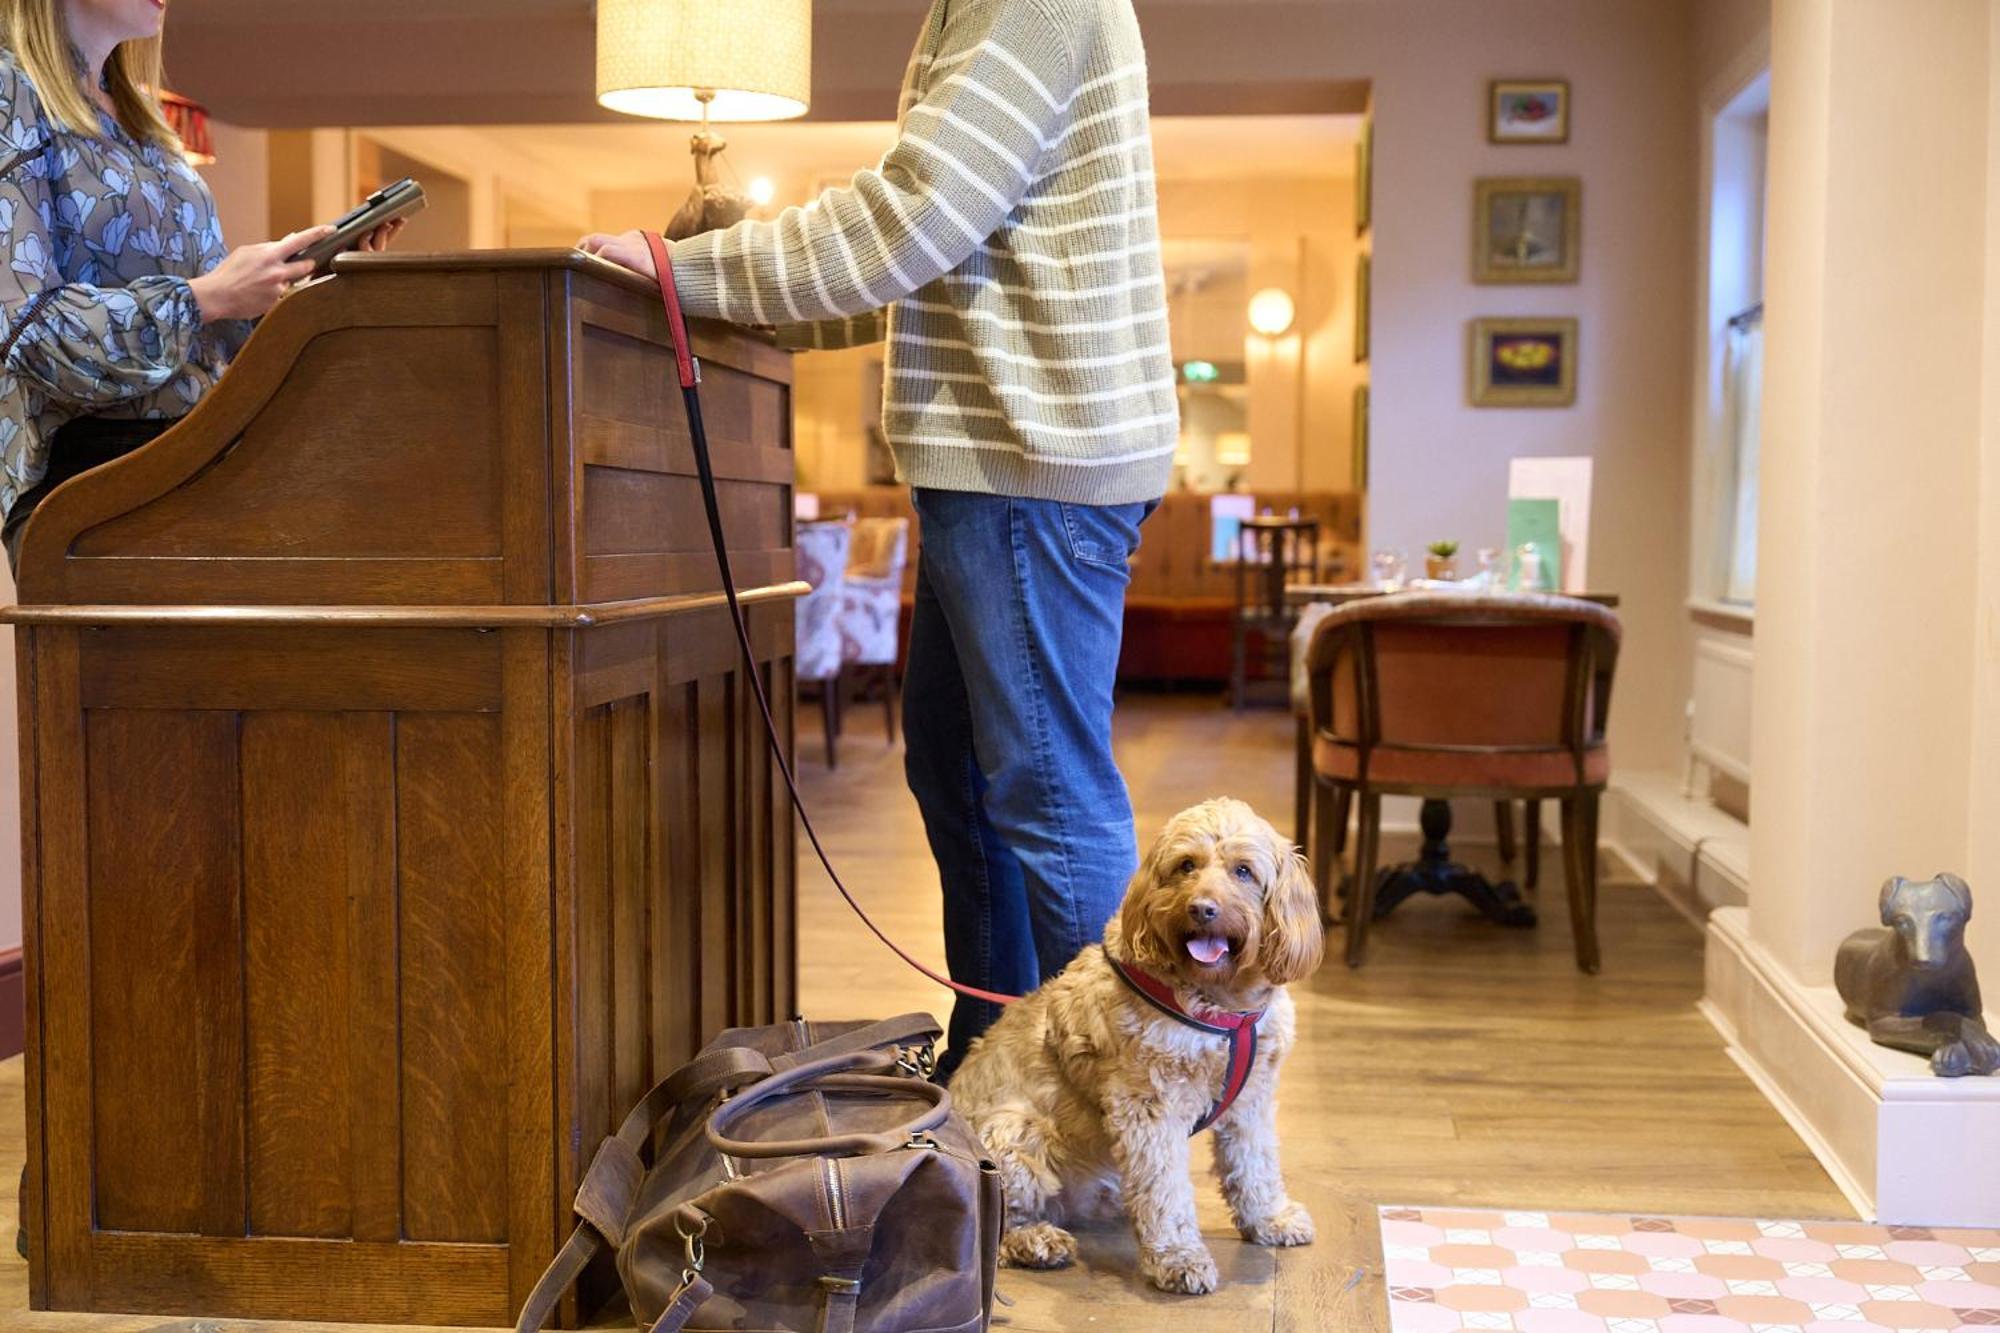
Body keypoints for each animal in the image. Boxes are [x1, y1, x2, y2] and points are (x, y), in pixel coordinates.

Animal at [944, 792, 1320, 1288]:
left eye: (1243, 871)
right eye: (1186, 865)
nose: (1202, 908)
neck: (1223, 1009)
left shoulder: (1251, 1100)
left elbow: (1255, 1164)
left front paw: (1269, 1219)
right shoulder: (1148, 1109)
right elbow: (1165, 1189)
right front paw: (1179, 1257)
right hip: (1013, 1131)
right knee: (996, 1223)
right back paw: (1035, 1240)